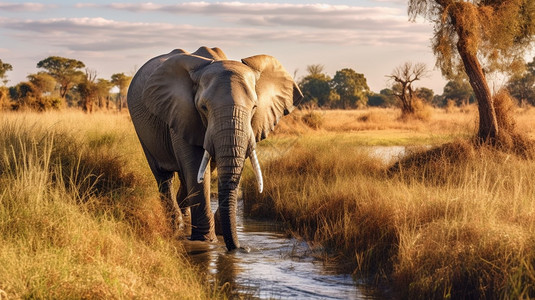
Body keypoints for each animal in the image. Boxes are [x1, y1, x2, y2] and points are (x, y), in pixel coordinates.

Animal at [125, 46, 302, 248]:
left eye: (254, 107)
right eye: (204, 107)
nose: (243, 249)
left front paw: (218, 231)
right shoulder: (182, 113)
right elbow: (196, 167)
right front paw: (205, 240)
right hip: (142, 128)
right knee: (164, 177)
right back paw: (176, 224)